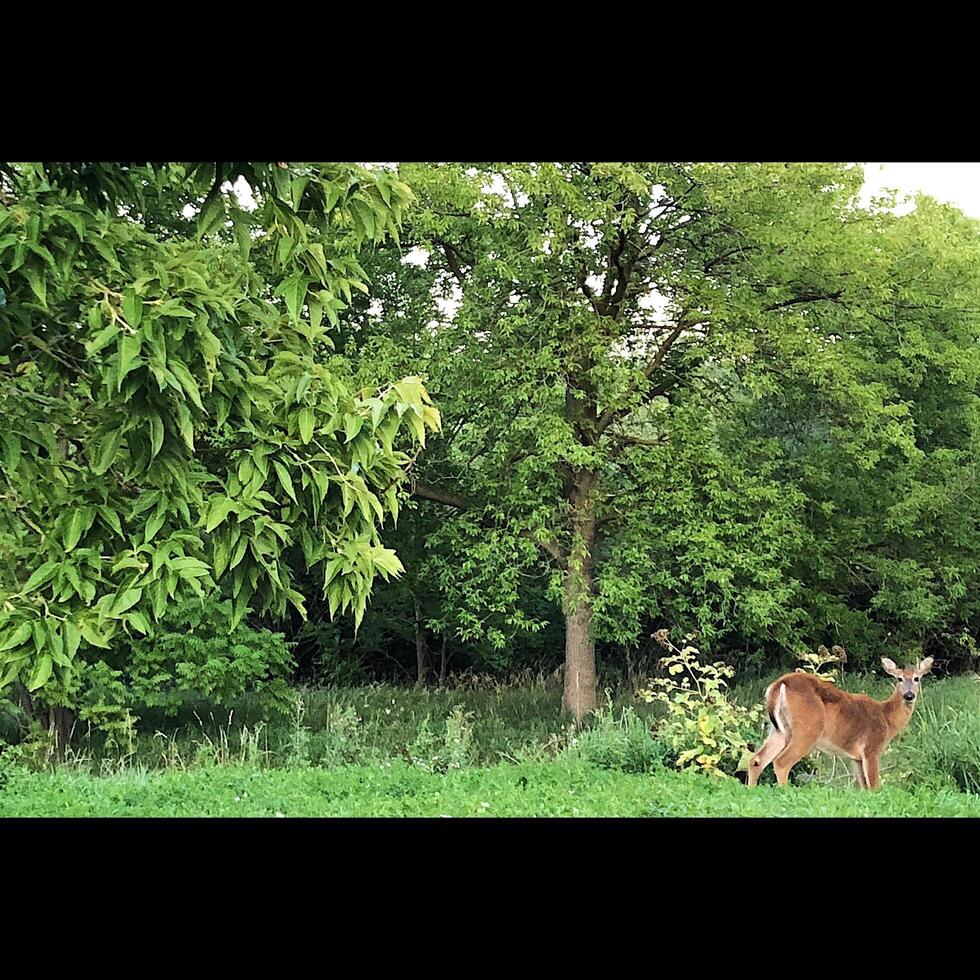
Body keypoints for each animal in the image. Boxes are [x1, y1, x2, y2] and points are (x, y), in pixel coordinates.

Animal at [752, 656, 936, 792]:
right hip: (808, 727)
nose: (909, 695)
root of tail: (779, 684)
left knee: (757, 759)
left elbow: (864, 787)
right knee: (781, 762)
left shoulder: (856, 758)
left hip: (779, 728)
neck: (886, 718)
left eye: (917, 678)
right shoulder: (871, 748)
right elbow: (874, 786)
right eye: (899, 679)